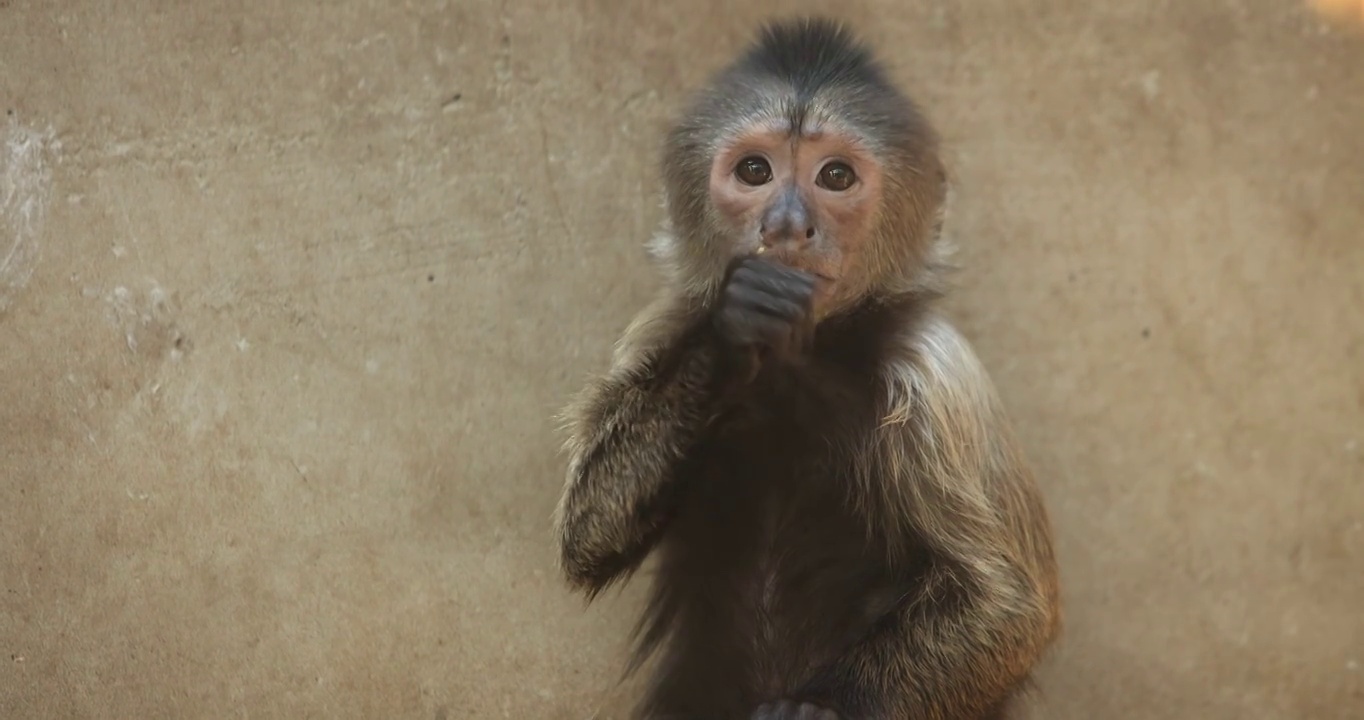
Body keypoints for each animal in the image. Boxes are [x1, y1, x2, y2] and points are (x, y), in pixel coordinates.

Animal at [548, 16, 1058, 720]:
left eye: (835, 176)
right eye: (755, 171)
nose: (787, 225)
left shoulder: (932, 371)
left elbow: (1008, 605)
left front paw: (815, 707)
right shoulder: (670, 318)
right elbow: (589, 534)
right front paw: (738, 331)